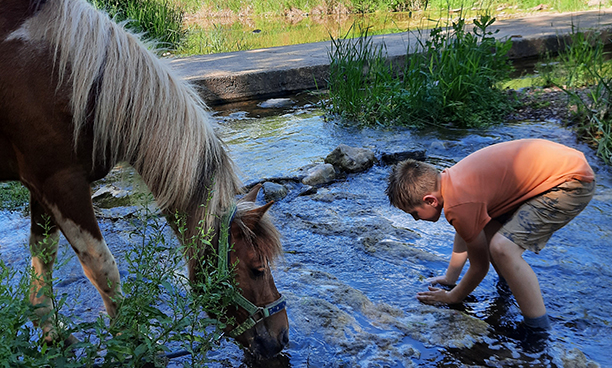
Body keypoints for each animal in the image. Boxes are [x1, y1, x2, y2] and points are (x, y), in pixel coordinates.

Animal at [0, 0, 290, 360]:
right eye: (256, 268)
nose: (282, 336)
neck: (59, 74)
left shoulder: (41, 185)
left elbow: (44, 254)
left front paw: (51, 333)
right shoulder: (62, 183)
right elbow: (102, 267)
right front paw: (130, 341)